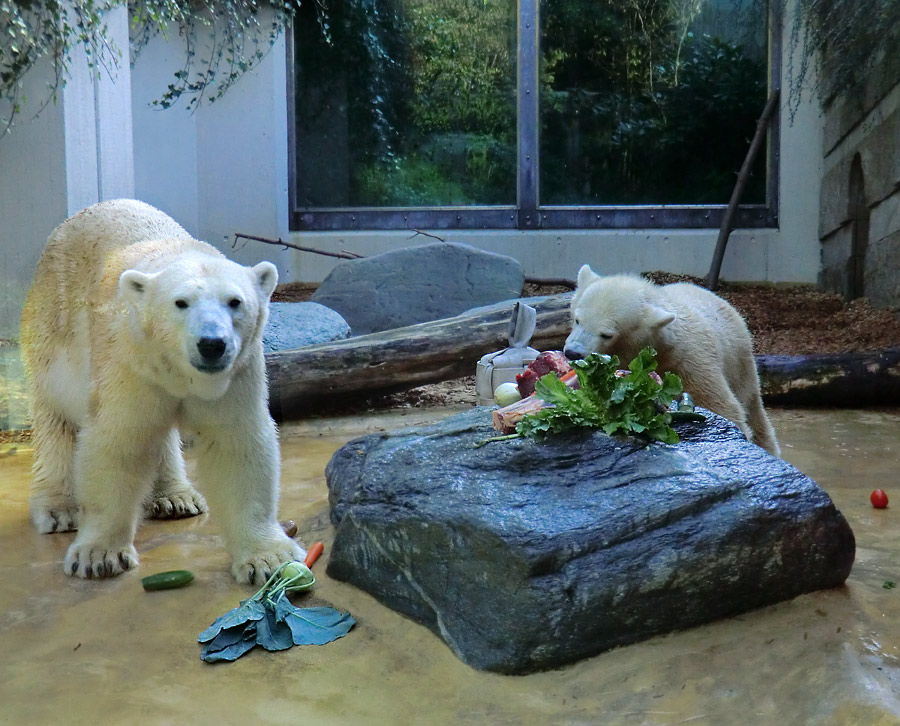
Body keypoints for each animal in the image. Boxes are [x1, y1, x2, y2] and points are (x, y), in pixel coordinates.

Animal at [20, 199, 305, 584]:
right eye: (180, 302)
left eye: (235, 301)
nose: (212, 344)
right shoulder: (129, 358)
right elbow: (118, 439)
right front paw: (98, 555)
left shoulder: (236, 373)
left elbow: (235, 443)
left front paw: (269, 558)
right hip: (55, 329)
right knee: (57, 413)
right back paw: (59, 508)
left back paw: (175, 498)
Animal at [563, 264, 780, 457]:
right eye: (577, 319)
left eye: (606, 334)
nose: (572, 352)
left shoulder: (689, 364)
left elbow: (720, 405)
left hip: (738, 359)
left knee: (751, 405)